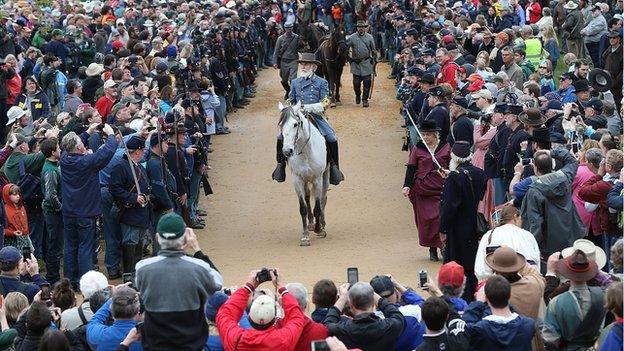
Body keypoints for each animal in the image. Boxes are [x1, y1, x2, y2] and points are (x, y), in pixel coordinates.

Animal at [280, 101, 332, 248]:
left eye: (295, 124)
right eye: (281, 125)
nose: (287, 151)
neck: (306, 152)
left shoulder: (317, 179)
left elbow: (318, 206)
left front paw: (319, 230)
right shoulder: (297, 179)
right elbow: (303, 207)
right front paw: (305, 236)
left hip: (325, 177)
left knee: (324, 198)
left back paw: (322, 224)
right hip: (305, 180)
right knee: (308, 197)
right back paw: (310, 223)